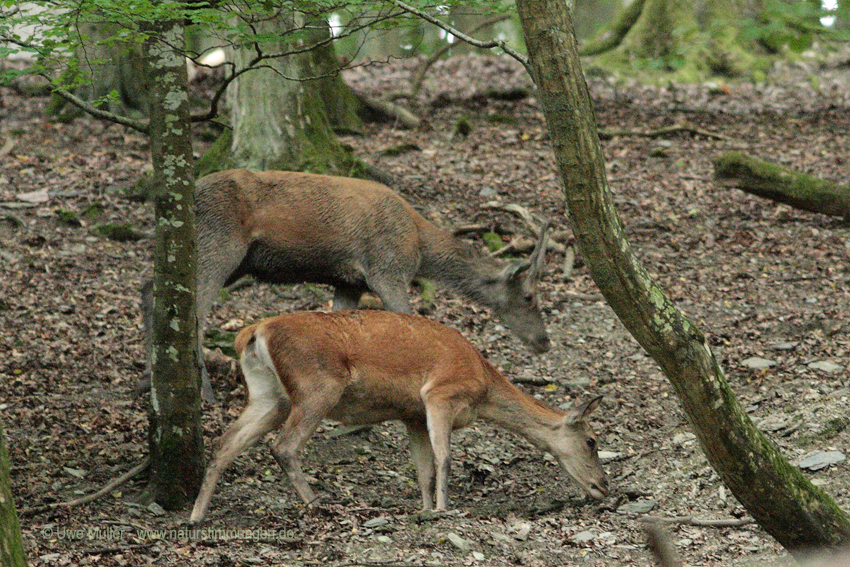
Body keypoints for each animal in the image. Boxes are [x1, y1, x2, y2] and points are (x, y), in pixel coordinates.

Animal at [139, 171, 548, 402]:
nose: (545, 341)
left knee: (148, 286)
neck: (418, 244)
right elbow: (407, 321)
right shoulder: (388, 269)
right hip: (217, 245)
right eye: (529, 296)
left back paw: (149, 379)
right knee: (191, 310)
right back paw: (201, 392)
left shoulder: (347, 280)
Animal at [189, 308, 608, 524]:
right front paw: (442, 510)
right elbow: (444, 457)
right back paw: (319, 505)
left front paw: (423, 508)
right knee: (285, 446)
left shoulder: (411, 414)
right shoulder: (440, 393)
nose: (604, 487)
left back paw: (196, 516)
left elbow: (423, 468)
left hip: (269, 395)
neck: (484, 385)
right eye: (592, 441)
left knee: (225, 442)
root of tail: (254, 331)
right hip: (317, 384)